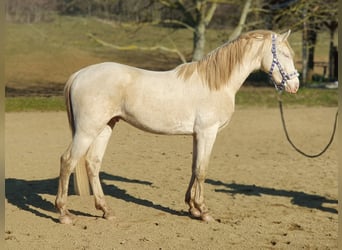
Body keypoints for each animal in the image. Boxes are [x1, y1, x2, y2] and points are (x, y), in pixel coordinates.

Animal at [54, 29, 298, 225]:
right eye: (285, 55)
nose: (295, 86)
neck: (215, 83)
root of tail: (79, 75)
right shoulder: (208, 132)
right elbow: (202, 170)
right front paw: (204, 212)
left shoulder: (197, 134)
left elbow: (194, 168)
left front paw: (192, 208)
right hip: (87, 131)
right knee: (67, 161)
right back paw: (64, 213)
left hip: (105, 127)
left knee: (92, 163)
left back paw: (106, 211)